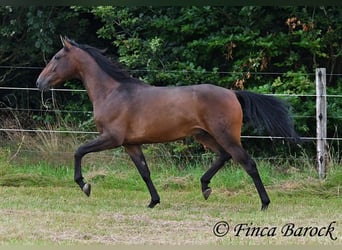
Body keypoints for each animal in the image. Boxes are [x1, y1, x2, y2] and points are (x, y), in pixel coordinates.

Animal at [36, 36, 298, 210]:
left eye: (57, 57)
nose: (39, 82)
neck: (112, 92)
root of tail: (233, 93)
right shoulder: (131, 144)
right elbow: (144, 171)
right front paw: (154, 201)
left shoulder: (112, 138)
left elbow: (79, 151)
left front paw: (85, 185)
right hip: (203, 135)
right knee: (224, 156)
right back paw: (205, 187)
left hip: (225, 135)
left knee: (248, 163)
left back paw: (264, 204)